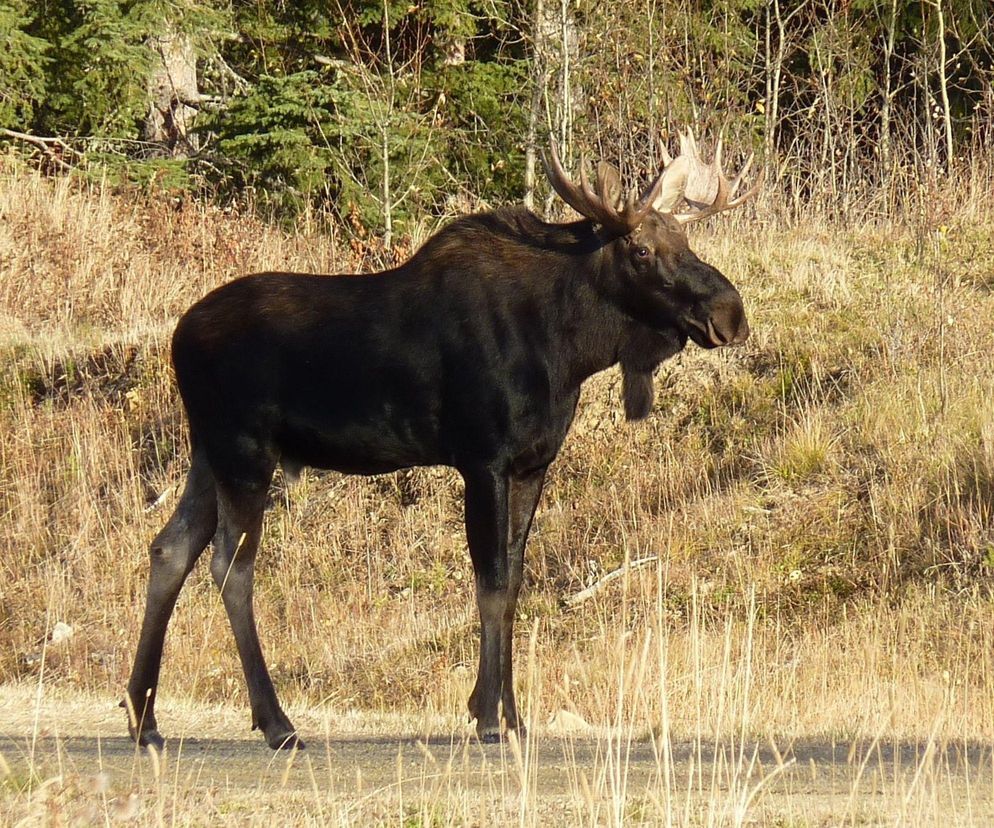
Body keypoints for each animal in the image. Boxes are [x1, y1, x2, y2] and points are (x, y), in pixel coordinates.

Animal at [124, 131, 760, 752]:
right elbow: (492, 582)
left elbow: (515, 580)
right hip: (244, 451)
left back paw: (144, 717)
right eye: (642, 251)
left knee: (170, 548)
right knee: (230, 565)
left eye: (684, 237)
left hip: (207, 453)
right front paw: (487, 717)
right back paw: (276, 722)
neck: (569, 347)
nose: (731, 313)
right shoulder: (483, 459)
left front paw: (511, 716)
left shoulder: (532, 464)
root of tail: (178, 337)